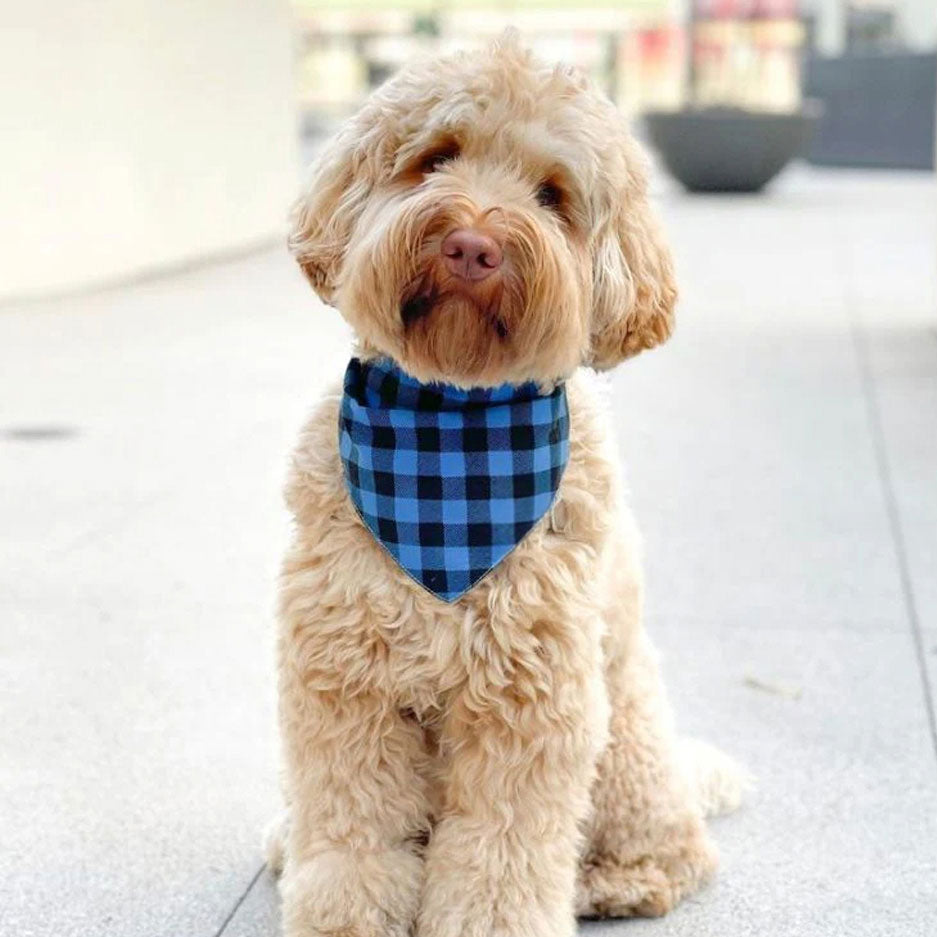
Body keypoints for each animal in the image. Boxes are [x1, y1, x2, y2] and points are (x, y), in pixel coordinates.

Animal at [270, 33, 744, 936]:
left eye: (552, 195)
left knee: (680, 848)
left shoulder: (533, 694)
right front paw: (343, 911)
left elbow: (499, 853)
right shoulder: (346, 675)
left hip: (624, 733)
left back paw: (620, 879)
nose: (470, 246)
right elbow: (354, 826)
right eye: (436, 157)